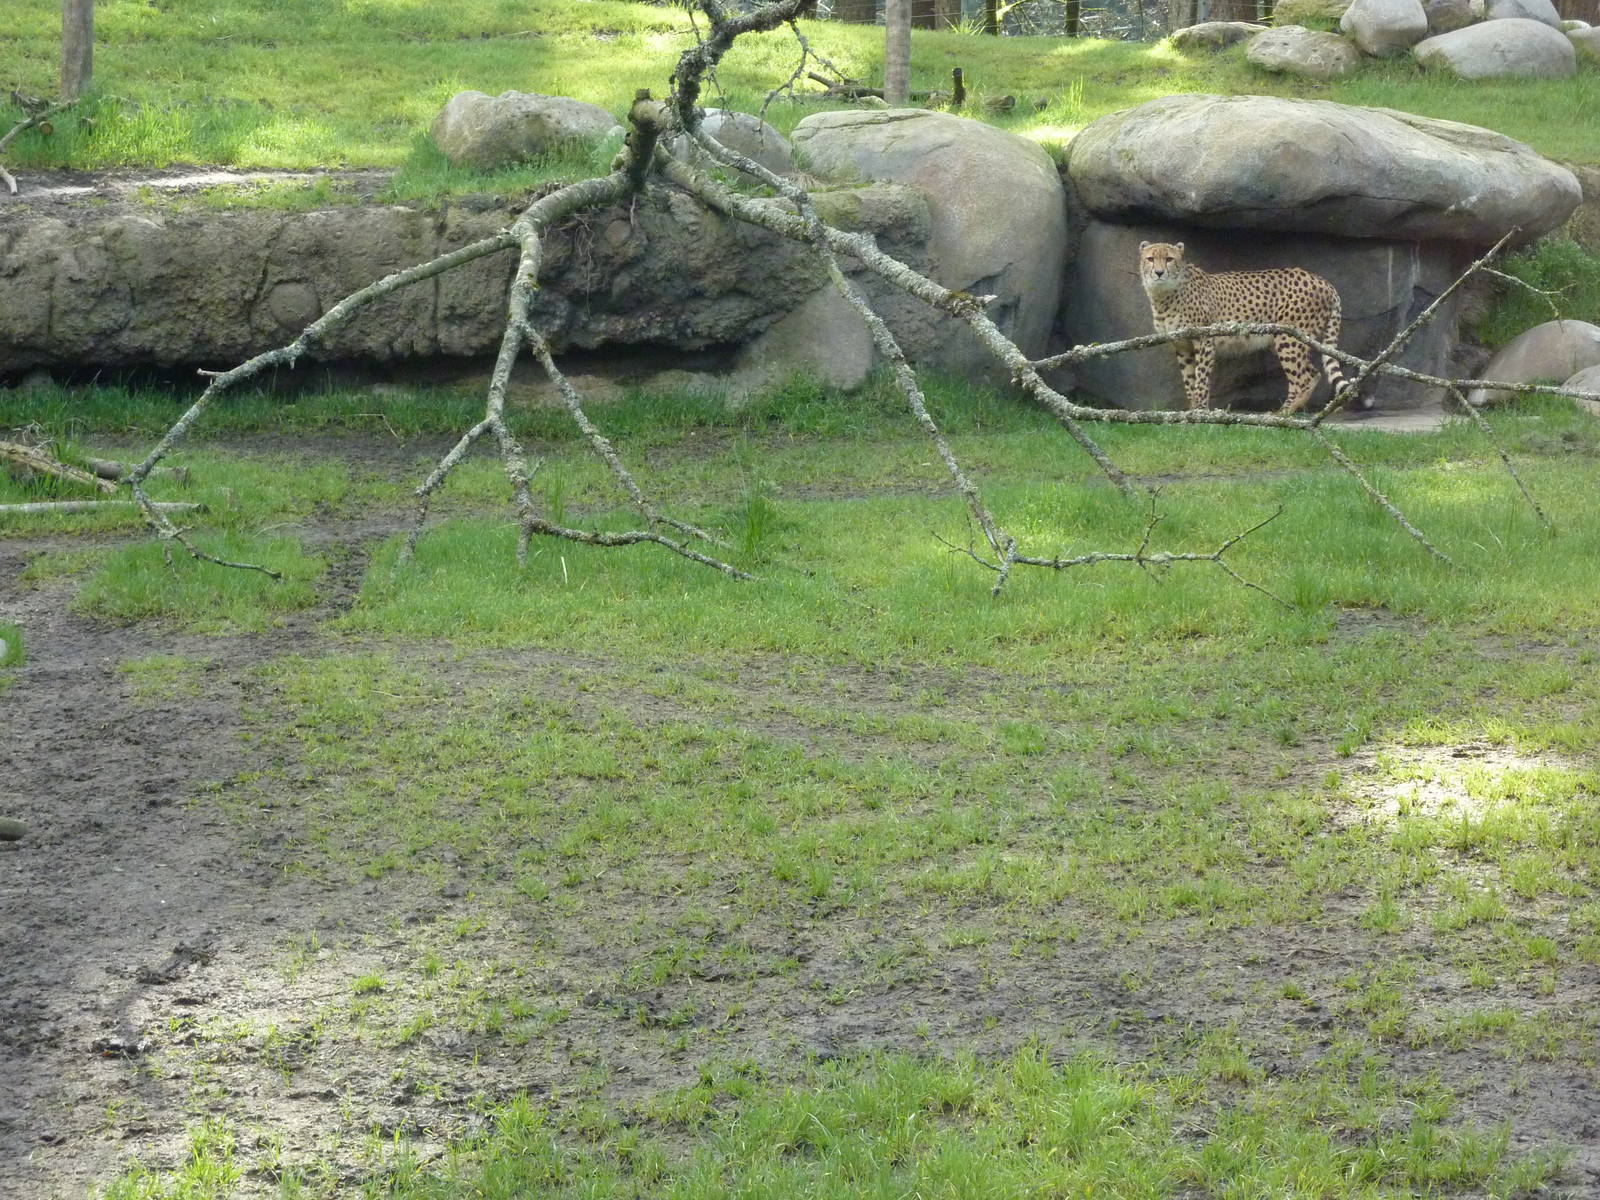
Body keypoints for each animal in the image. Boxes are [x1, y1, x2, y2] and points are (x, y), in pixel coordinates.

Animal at [1138, 241, 1362, 414]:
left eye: (1169, 259)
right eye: (1150, 259)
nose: (1159, 272)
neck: (1164, 295)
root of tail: (1321, 279)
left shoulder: (1204, 341)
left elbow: (1201, 379)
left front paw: (1200, 412)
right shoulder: (1182, 345)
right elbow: (1189, 380)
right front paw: (1191, 411)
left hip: (1288, 338)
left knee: (1303, 378)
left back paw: (1282, 415)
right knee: (1313, 373)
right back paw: (1290, 412)